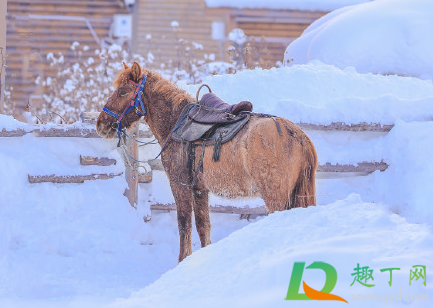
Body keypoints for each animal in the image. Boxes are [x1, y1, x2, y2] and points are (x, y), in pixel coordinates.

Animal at [95, 62, 318, 262]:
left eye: (123, 91)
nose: (101, 124)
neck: (176, 123)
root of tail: (297, 135)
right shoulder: (200, 189)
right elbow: (204, 226)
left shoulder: (180, 185)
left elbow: (184, 223)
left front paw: (183, 260)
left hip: (276, 197)